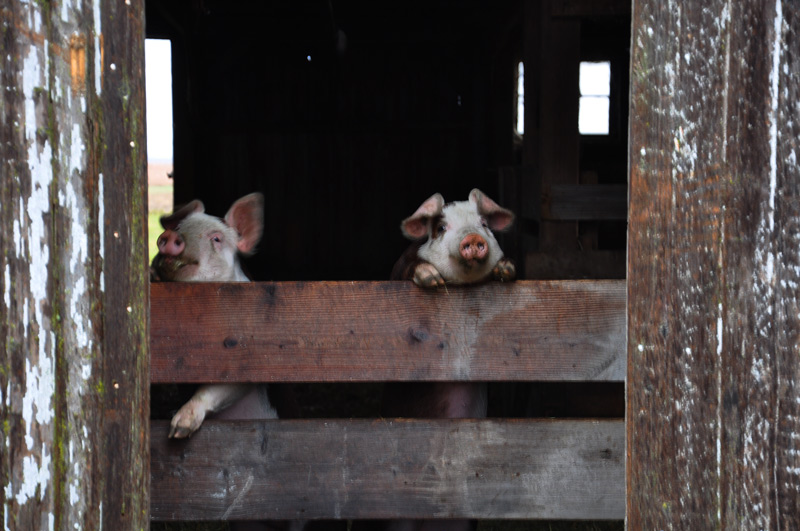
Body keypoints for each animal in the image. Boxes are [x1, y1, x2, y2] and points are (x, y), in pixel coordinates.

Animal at [151, 192, 284, 439]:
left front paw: (178, 431)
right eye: (180, 227)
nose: (171, 235)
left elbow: (213, 389)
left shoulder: (245, 357)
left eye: (216, 239)